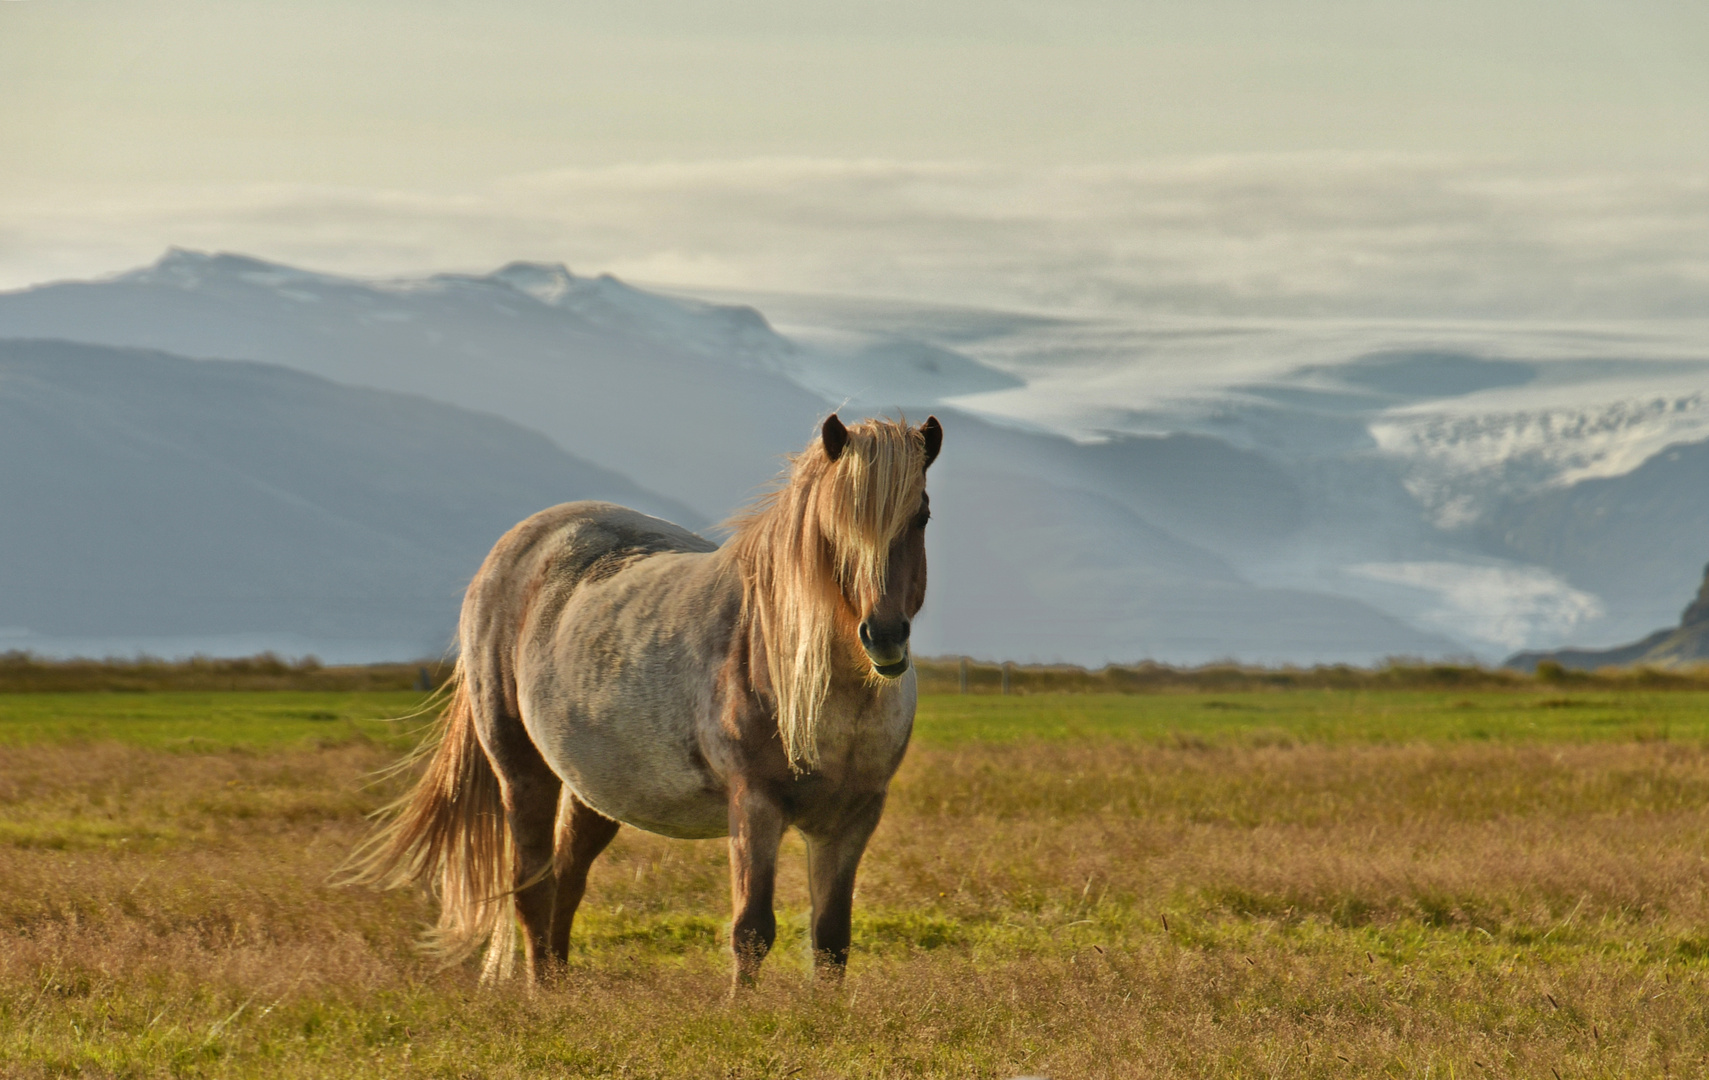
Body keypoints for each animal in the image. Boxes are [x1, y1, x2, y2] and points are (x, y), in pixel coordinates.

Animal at [341, 411, 943, 984]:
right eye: (833, 528)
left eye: (921, 516)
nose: (883, 636)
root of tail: (510, 551)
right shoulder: (754, 805)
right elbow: (751, 930)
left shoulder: (852, 818)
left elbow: (831, 939)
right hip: (522, 773)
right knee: (533, 888)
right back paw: (541, 1000)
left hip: (592, 789)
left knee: (567, 881)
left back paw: (560, 991)